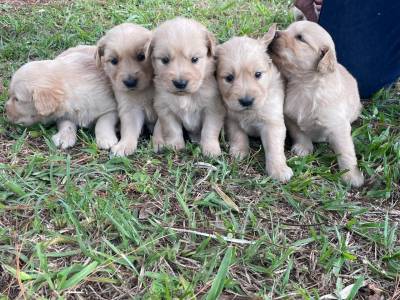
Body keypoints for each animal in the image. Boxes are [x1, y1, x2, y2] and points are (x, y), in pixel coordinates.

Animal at [95, 23, 156, 157]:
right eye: (113, 61)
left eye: (141, 56)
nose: (130, 82)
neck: (144, 89)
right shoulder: (130, 108)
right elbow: (129, 128)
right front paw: (124, 145)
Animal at [150, 17, 225, 157]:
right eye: (165, 60)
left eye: (194, 59)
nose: (180, 83)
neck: (186, 96)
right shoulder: (165, 109)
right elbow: (172, 129)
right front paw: (175, 145)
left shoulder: (213, 109)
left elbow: (209, 130)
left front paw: (210, 149)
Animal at [217, 25, 292, 182]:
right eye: (229, 78)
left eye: (258, 74)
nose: (246, 101)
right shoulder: (231, 118)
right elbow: (237, 134)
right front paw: (239, 150)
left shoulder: (272, 123)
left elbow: (274, 146)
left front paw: (278, 169)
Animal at [270, 20, 364, 185]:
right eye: (287, 29)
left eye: (300, 38)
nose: (275, 33)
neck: (303, 85)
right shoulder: (291, 117)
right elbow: (299, 133)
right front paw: (303, 148)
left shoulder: (338, 126)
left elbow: (346, 151)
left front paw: (352, 176)